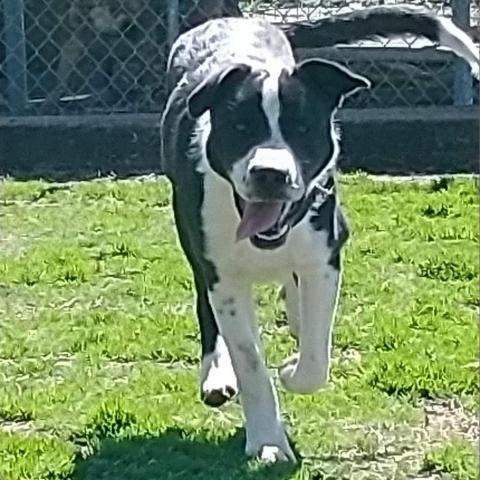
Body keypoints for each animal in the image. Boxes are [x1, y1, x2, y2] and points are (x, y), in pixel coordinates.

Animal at [160, 5, 476, 464]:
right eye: (240, 126)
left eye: (303, 128)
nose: (270, 174)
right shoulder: (223, 274)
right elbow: (250, 360)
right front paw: (268, 440)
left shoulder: (325, 256)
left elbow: (315, 354)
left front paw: (293, 369)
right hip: (191, 239)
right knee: (207, 307)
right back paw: (216, 373)